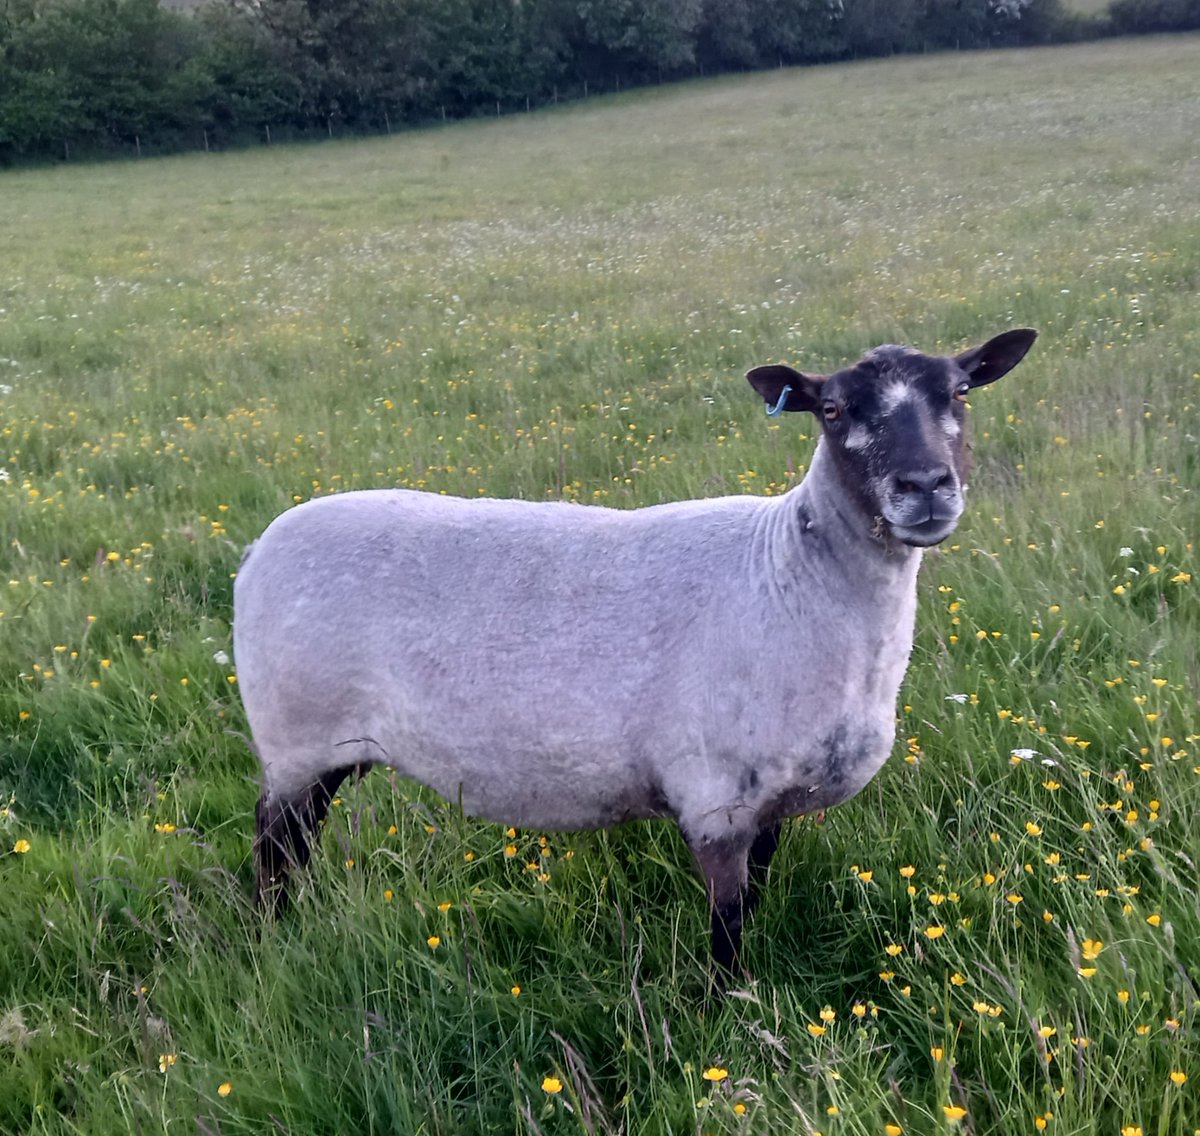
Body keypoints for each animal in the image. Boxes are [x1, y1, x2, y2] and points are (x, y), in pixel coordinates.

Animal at [236, 326, 1041, 969]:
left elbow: (758, 898)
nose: (925, 485)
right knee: (273, 853)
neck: (789, 568)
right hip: (294, 740)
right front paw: (726, 1014)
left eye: (961, 392)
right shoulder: (716, 797)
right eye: (834, 410)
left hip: (335, 752)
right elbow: (728, 926)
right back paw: (274, 942)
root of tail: (257, 549)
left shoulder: (769, 803)